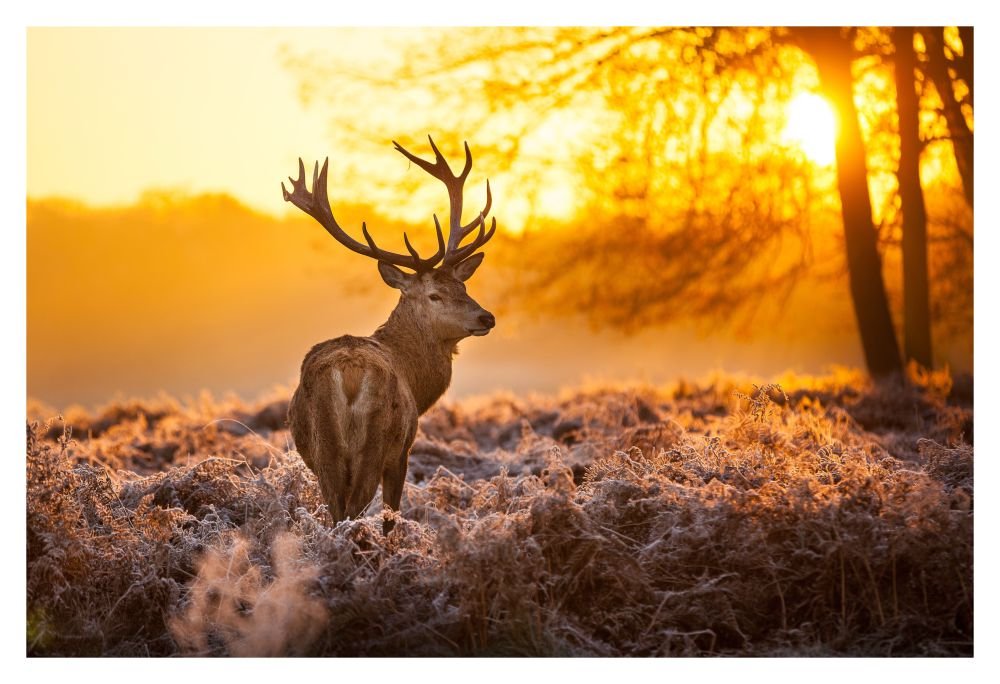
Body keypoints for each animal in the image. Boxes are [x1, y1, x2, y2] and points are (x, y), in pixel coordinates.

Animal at [281, 136, 496, 534]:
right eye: (435, 295)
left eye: (463, 286)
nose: (486, 317)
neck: (416, 379)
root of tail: (348, 373)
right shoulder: (403, 451)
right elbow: (391, 516)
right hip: (376, 442)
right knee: (355, 511)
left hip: (323, 449)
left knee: (337, 511)